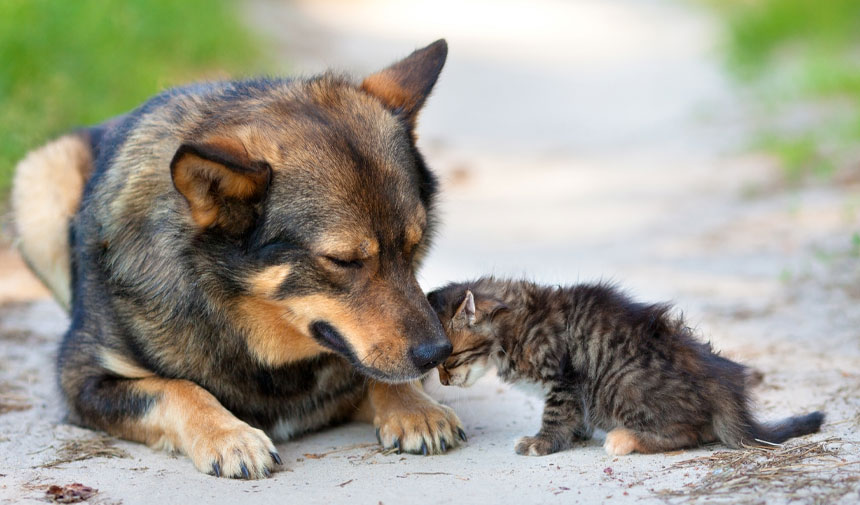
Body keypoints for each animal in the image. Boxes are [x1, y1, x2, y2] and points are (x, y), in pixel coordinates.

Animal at [11, 38, 464, 476]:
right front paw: (229, 436)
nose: (437, 353)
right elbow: (175, 388)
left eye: (413, 246)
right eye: (343, 261)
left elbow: (376, 373)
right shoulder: (83, 380)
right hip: (40, 178)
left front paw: (414, 408)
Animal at [426, 278, 824, 454]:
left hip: (621, 383)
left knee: (691, 432)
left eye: (450, 360)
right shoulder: (571, 389)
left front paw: (541, 442)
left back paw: (624, 438)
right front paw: (577, 434)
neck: (515, 324)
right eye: (436, 366)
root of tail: (724, 384)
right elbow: (574, 415)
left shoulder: (563, 379)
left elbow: (555, 415)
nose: (443, 384)